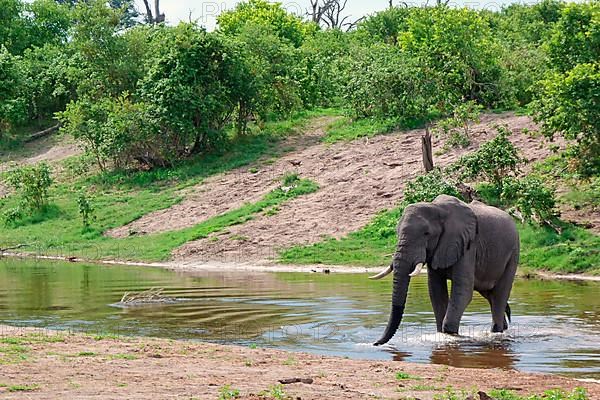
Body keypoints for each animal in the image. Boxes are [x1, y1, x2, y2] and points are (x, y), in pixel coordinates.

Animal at [368, 195, 516, 346]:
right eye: (396, 233)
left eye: (426, 233)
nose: (374, 343)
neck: (437, 207)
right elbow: (436, 291)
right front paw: (441, 334)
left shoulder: (468, 245)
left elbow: (463, 290)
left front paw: (451, 334)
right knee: (489, 293)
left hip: (513, 253)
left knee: (499, 294)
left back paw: (497, 331)